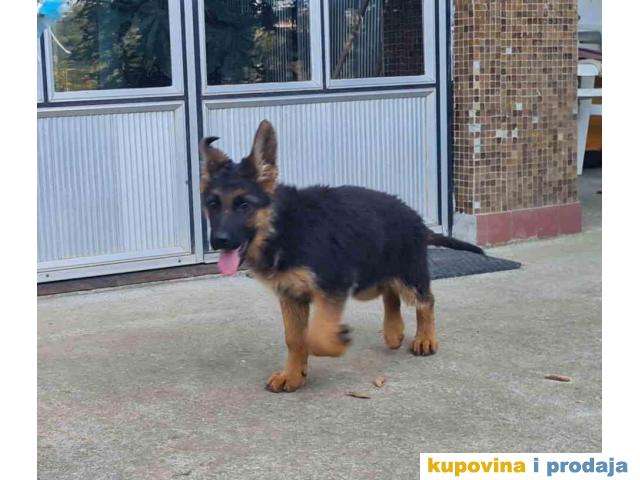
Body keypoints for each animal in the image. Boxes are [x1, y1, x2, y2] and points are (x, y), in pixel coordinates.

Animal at [199, 120, 484, 393]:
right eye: (212, 205)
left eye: (244, 205)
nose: (218, 241)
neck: (281, 227)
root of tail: (416, 218)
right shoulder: (291, 295)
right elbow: (294, 339)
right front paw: (292, 375)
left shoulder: (333, 285)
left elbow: (315, 336)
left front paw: (336, 342)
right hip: (369, 281)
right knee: (389, 294)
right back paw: (393, 331)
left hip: (407, 274)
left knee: (425, 300)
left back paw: (425, 338)